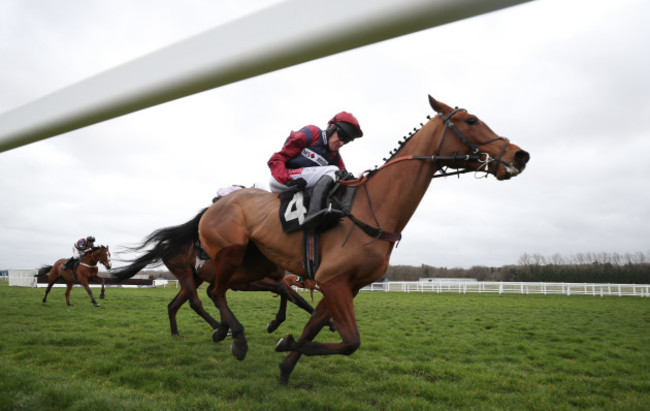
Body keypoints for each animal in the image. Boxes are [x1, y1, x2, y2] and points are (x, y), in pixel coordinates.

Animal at [196, 95, 528, 384]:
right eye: (471, 120)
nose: (520, 155)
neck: (372, 210)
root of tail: (215, 203)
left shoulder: (346, 286)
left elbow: (313, 330)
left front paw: (285, 366)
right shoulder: (333, 281)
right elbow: (351, 342)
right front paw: (283, 344)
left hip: (255, 265)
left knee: (221, 289)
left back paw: (224, 330)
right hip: (231, 253)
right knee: (216, 290)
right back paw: (237, 338)